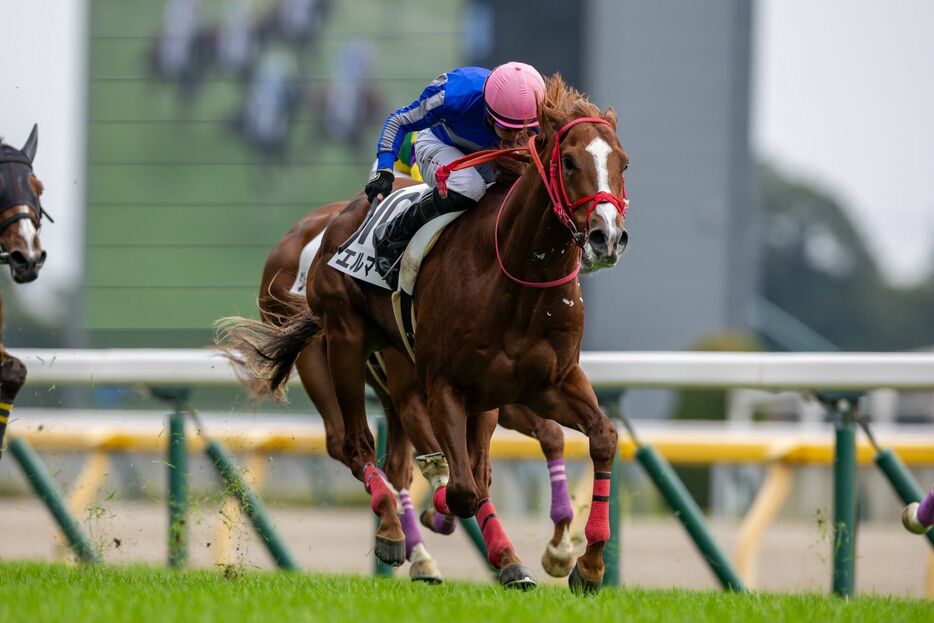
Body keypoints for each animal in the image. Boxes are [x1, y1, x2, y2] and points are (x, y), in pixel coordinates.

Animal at [252, 193, 580, 584]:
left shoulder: (500, 393)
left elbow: (539, 439)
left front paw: (555, 549)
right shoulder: (415, 398)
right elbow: (447, 465)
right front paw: (444, 516)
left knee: (397, 464)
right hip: (322, 359)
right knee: (343, 442)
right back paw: (411, 541)